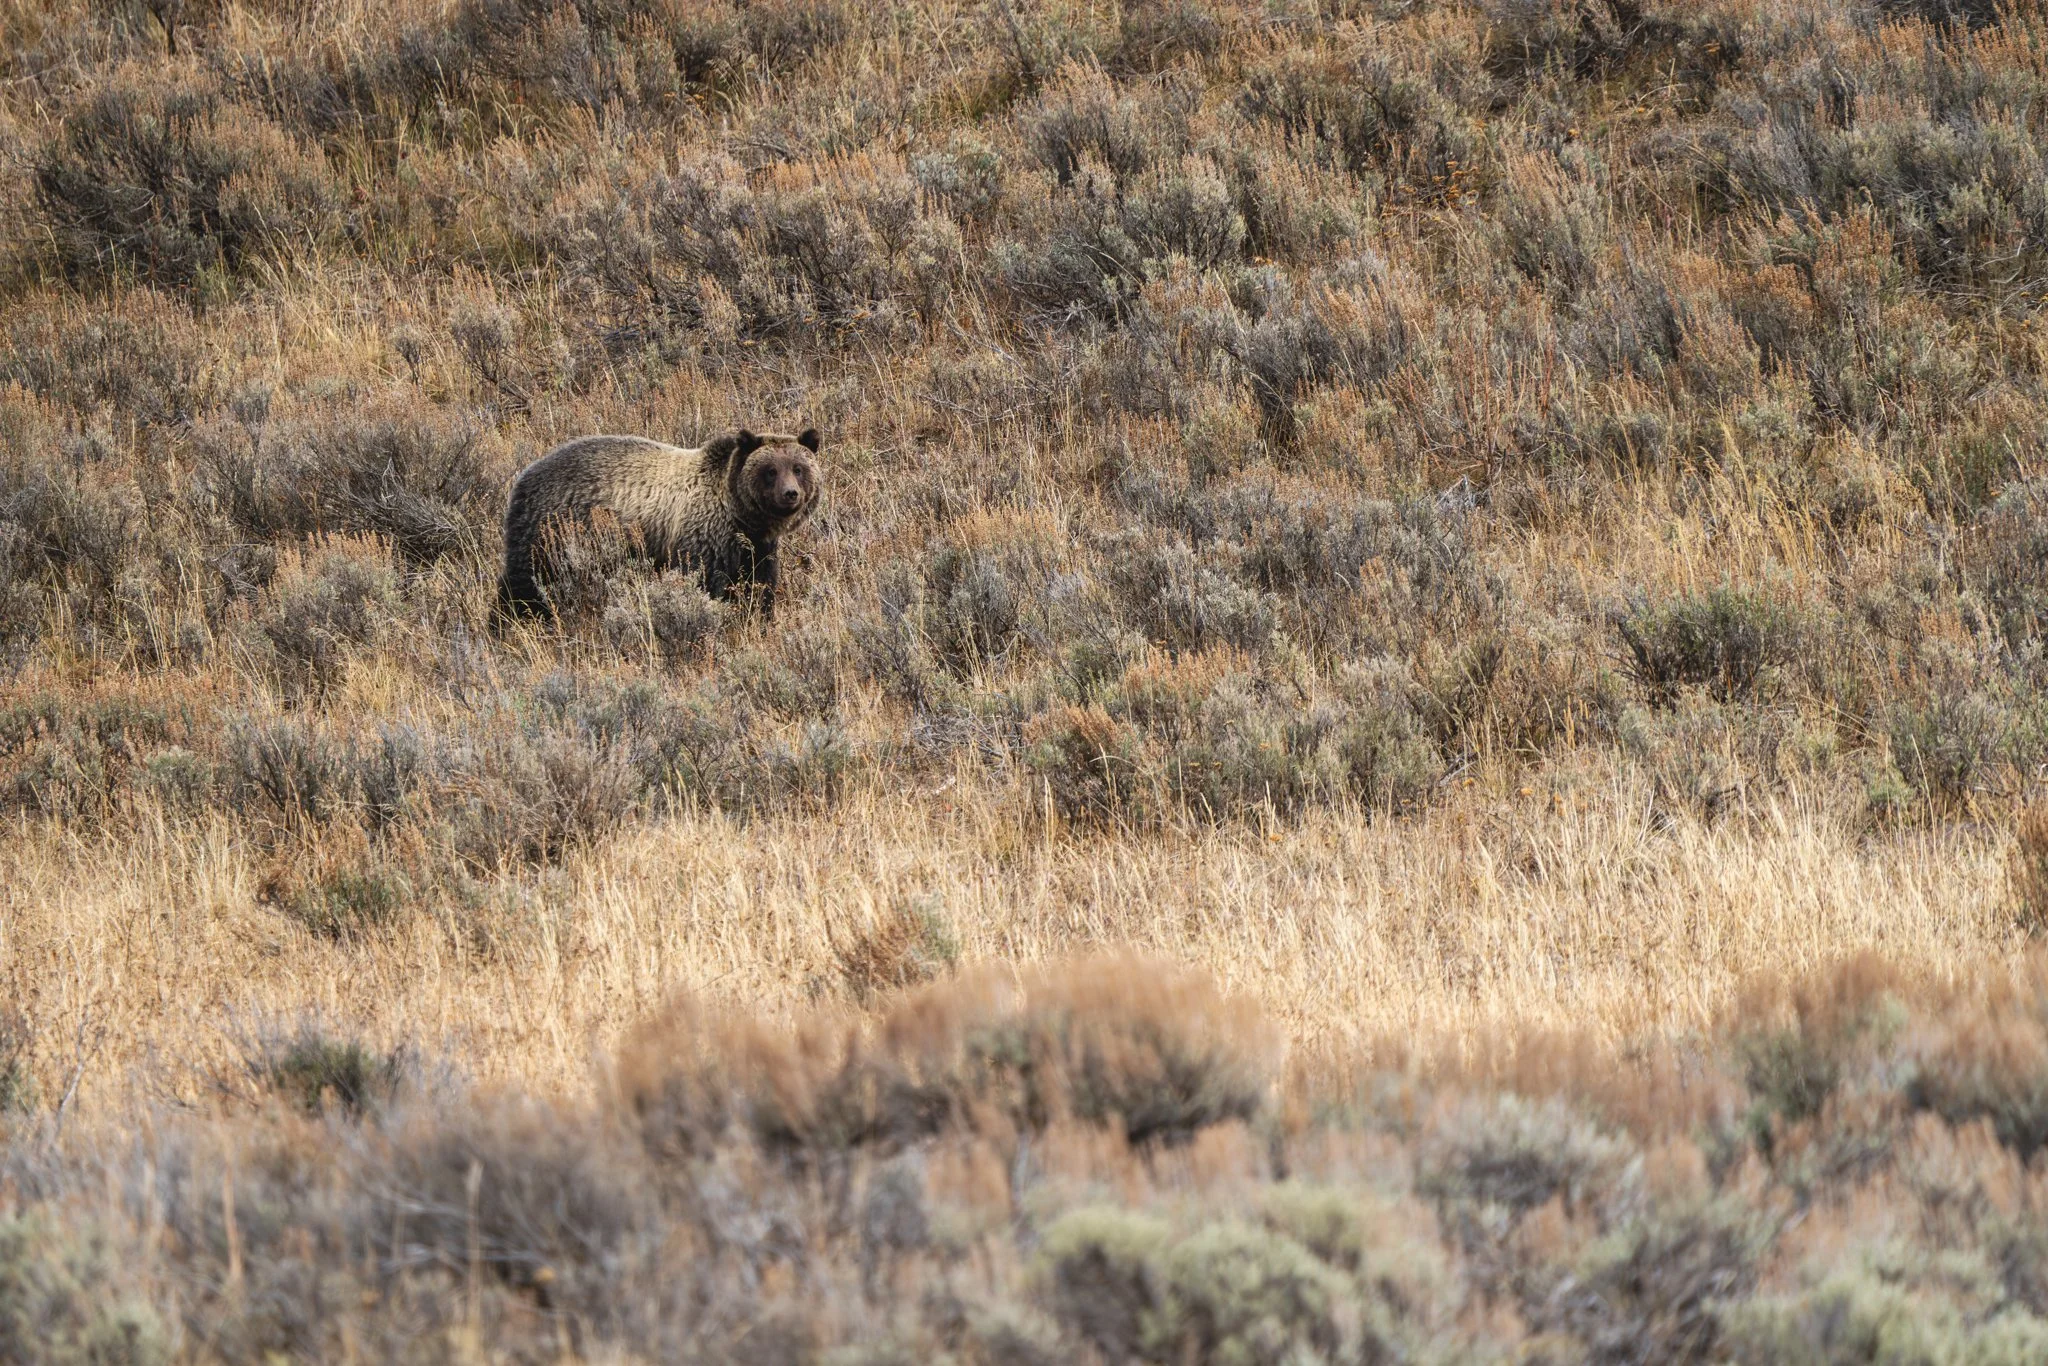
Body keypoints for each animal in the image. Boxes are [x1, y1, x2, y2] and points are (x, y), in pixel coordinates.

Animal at [495, 426, 821, 622]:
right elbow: (705, 583)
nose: (790, 494)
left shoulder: (755, 548)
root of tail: (524, 477)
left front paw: (758, 617)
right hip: (554, 534)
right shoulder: (703, 539)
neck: (741, 515)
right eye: (770, 470)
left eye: (798, 468)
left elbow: (760, 586)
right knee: (525, 584)